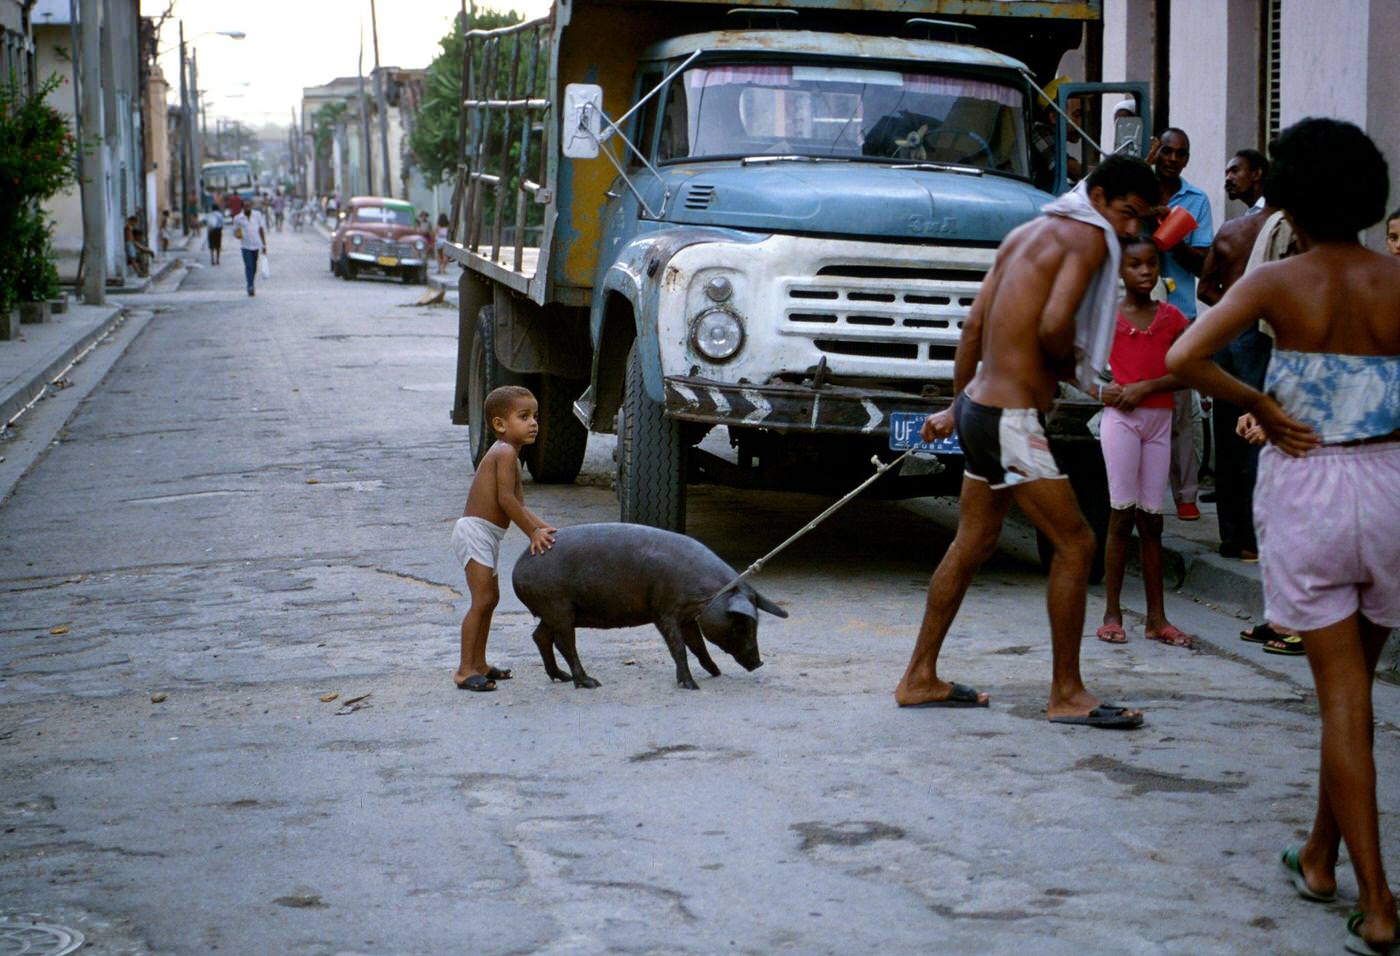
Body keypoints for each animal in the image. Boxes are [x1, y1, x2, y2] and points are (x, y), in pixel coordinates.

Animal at [509, 523, 789, 688]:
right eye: (743, 624)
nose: (759, 663)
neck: (706, 595)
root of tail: (517, 569)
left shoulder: (688, 617)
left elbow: (697, 645)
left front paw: (716, 672)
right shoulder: (665, 611)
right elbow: (679, 648)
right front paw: (691, 686)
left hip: (551, 611)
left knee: (539, 636)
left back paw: (561, 677)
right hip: (558, 606)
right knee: (563, 643)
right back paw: (589, 682)